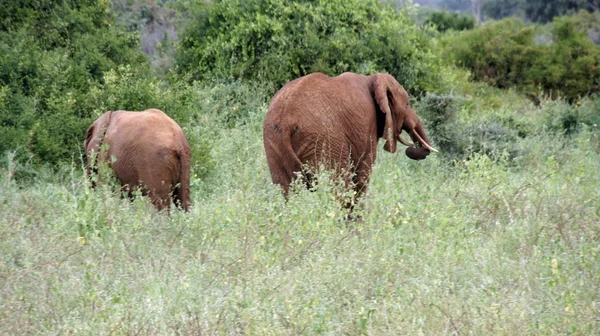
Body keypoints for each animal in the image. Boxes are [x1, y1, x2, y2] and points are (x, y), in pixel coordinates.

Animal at [262, 72, 436, 205]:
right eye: (407, 104)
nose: (411, 149)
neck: (373, 79)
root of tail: (286, 122)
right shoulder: (369, 128)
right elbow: (362, 176)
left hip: (273, 142)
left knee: (284, 188)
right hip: (323, 140)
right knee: (339, 185)